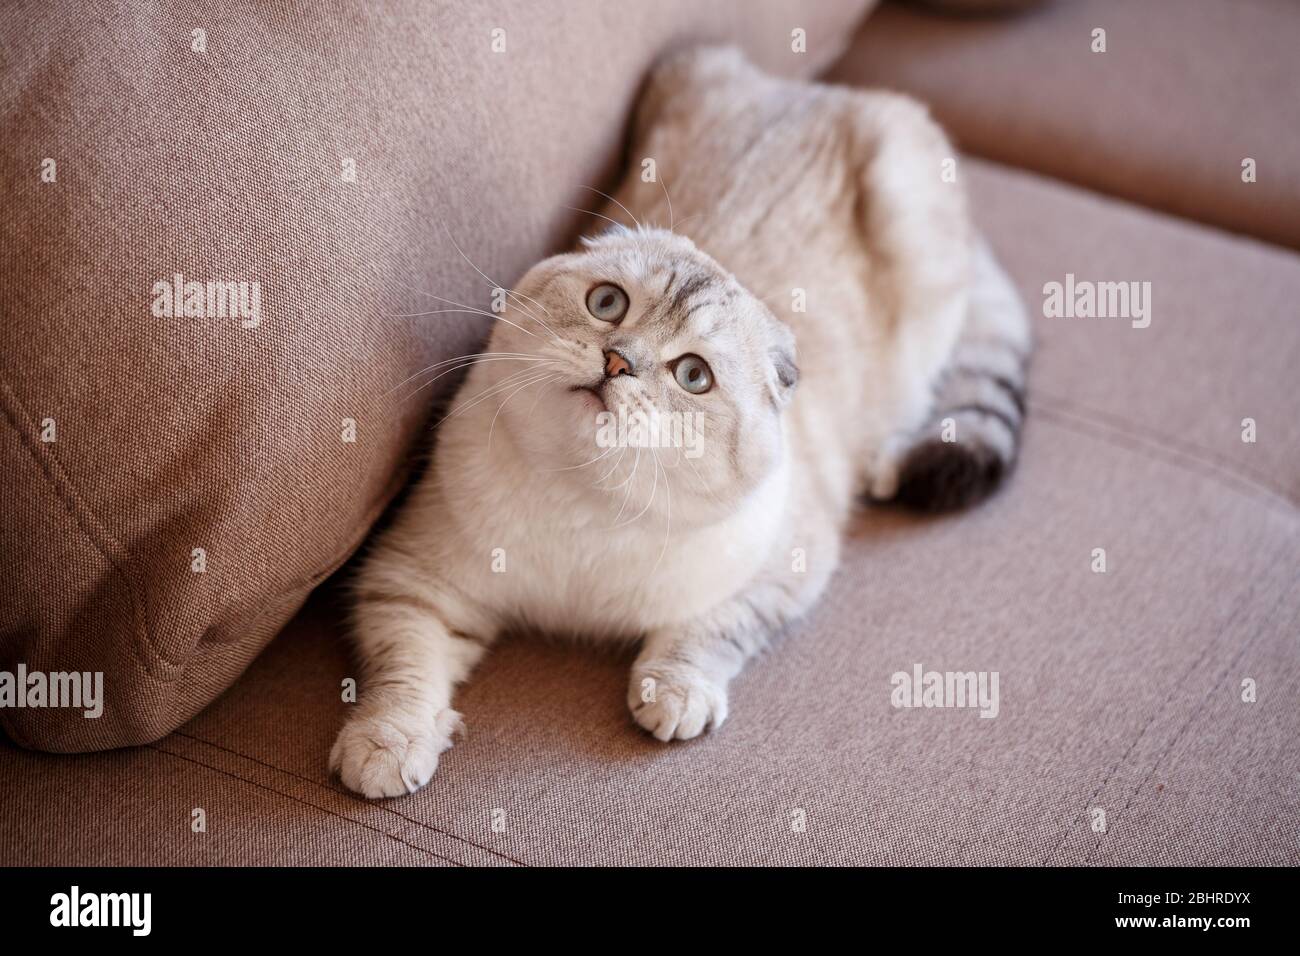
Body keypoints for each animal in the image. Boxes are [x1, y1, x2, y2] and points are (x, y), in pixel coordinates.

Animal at [330, 46, 1029, 801]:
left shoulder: (783, 570)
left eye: (693, 375)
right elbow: (404, 674)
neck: (587, 508)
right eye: (607, 304)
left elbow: (707, 635)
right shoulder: (415, 580)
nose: (617, 360)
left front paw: (673, 697)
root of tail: (825, 90)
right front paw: (387, 747)